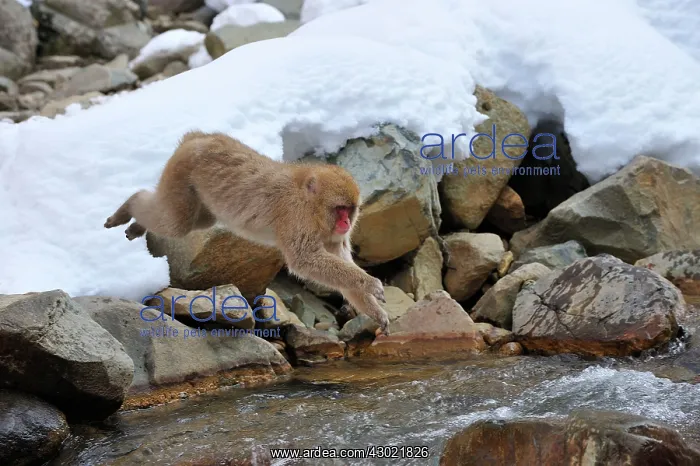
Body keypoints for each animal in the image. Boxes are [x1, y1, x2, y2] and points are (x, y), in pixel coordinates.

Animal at [104, 131, 390, 333]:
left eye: (350, 209)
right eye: (340, 208)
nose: (346, 223)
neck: (310, 204)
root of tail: (199, 137)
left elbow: (341, 270)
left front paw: (374, 310)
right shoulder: (297, 218)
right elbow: (304, 261)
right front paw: (370, 283)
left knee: (197, 222)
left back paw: (137, 223)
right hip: (180, 170)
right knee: (176, 223)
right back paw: (129, 205)